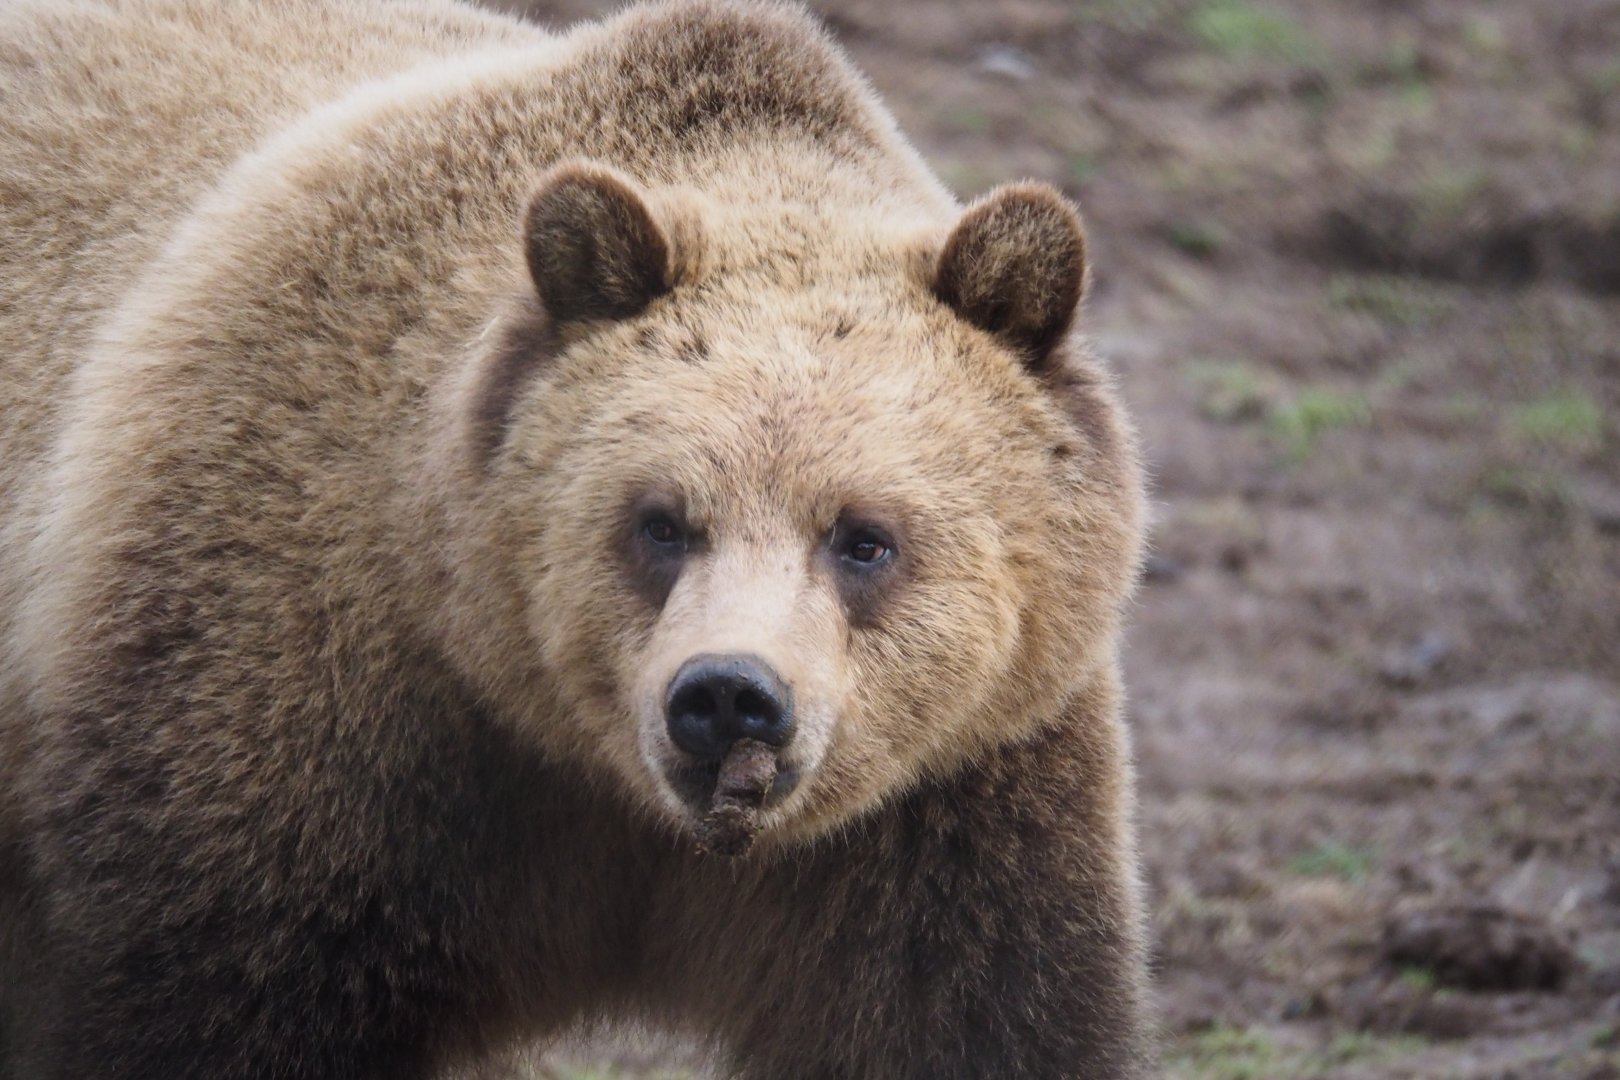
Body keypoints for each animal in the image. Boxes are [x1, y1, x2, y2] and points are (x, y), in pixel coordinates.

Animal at [0, 0, 1151, 1077]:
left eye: (864, 538)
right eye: (660, 522)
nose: (728, 695)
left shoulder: (948, 817)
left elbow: (969, 1018)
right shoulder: (302, 715)